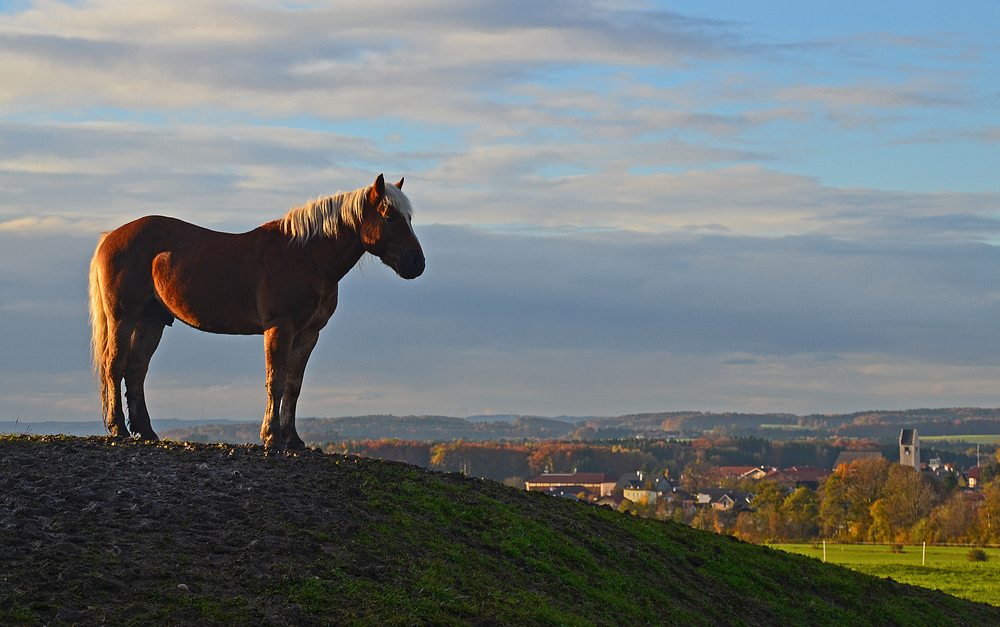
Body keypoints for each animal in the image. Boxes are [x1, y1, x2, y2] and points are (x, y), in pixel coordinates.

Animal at [87, 174, 426, 448]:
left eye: (408, 217)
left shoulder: (308, 334)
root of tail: (110, 237)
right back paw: (118, 429)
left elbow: (293, 385)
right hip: (123, 317)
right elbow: (275, 381)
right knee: (114, 365)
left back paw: (146, 432)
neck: (305, 256)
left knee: (136, 370)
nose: (416, 263)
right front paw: (272, 437)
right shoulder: (280, 328)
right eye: (389, 216)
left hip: (152, 320)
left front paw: (293, 438)